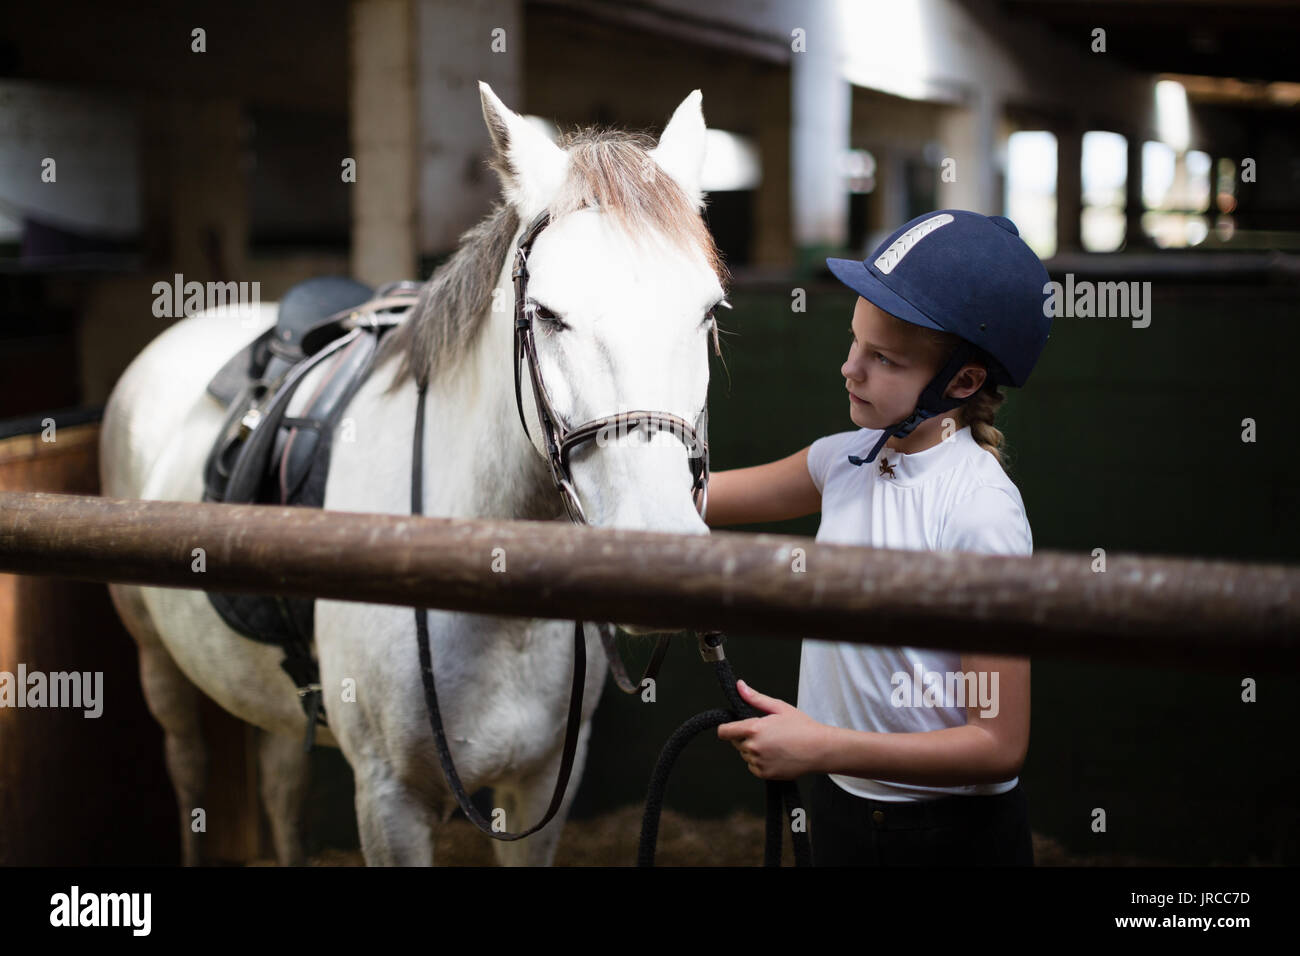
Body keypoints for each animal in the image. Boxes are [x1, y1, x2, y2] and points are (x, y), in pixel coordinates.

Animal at [98, 82, 729, 866]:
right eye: (547, 315)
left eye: (708, 312)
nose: (661, 550)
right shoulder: (389, 801)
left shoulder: (542, 785)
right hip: (158, 663)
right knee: (187, 764)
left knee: (279, 782)